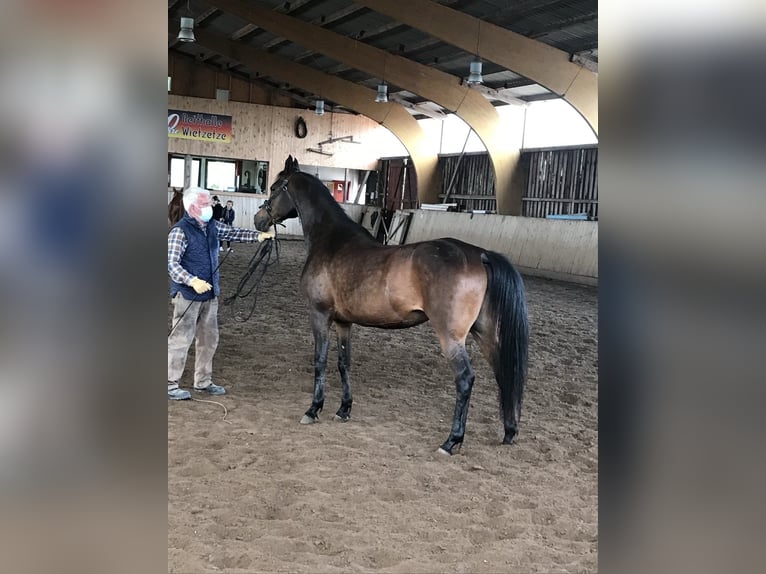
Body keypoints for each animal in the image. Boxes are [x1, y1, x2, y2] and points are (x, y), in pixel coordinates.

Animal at [253, 155, 529, 455]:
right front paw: (343, 409)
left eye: (274, 188)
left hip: (451, 337)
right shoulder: (343, 322)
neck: (331, 241)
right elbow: (343, 362)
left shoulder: (319, 315)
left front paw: (313, 409)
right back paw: (509, 432)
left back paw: (451, 441)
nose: (259, 219)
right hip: (485, 333)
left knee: (465, 379)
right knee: (504, 373)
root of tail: (479, 254)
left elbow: (320, 360)